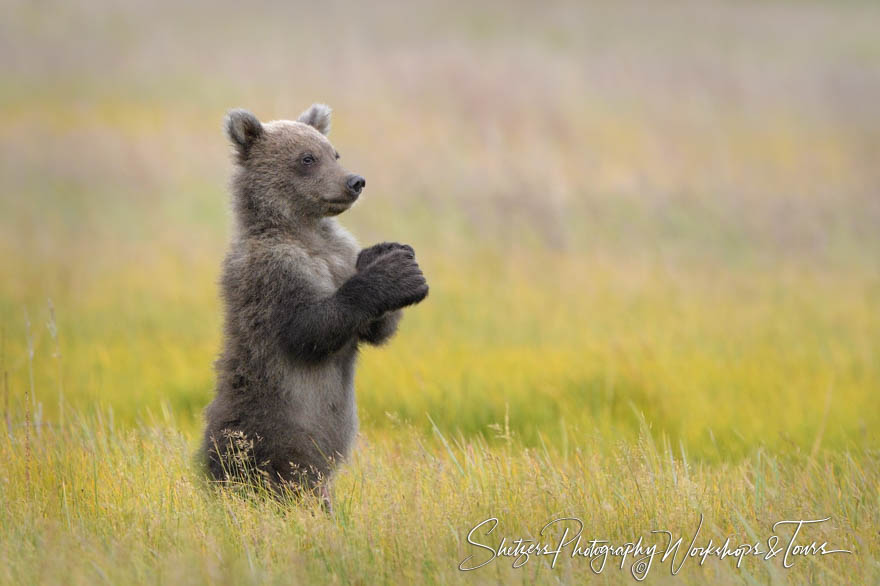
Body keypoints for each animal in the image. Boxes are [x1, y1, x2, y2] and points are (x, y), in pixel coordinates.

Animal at [203, 104, 430, 502]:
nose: (355, 181)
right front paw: (392, 273)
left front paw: (388, 255)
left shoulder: (339, 255)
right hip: (272, 432)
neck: (305, 232)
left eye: (333, 152)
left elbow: (374, 329)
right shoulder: (274, 271)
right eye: (307, 158)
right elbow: (307, 330)